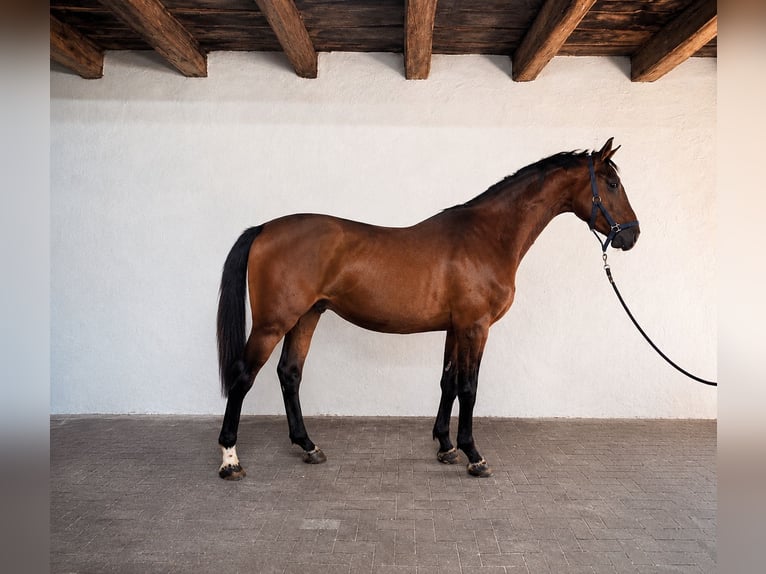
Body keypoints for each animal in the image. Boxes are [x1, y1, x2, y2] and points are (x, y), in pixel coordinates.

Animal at [216, 138, 639, 479]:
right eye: (612, 183)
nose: (632, 235)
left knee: (290, 374)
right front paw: (474, 455)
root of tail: (264, 228)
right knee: (243, 376)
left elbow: (448, 382)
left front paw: (446, 447)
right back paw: (230, 460)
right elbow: (469, 387)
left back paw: (308, 446)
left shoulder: (454, 327)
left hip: (306, 316)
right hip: (273, 323)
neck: (487, 236)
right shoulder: (475, 326)